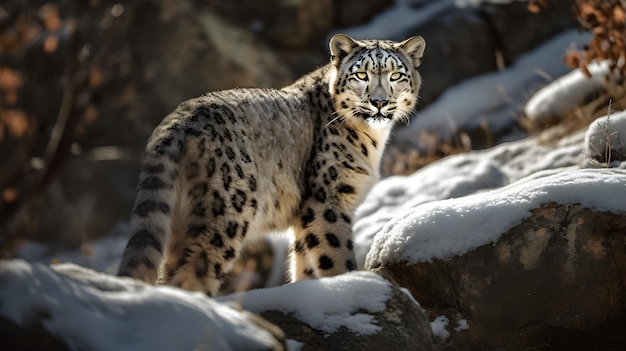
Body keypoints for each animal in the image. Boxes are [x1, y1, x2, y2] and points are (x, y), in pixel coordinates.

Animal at [117, 33, 424, 296]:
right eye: (362, 74)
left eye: (396, 74)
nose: (379, 102)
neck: (373, 141)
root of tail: (178, 119)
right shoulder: (326, 203)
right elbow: (335, 256)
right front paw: (350, 285)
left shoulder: (304, 218)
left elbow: (305, 265)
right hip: (225, 213)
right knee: (192, 273)